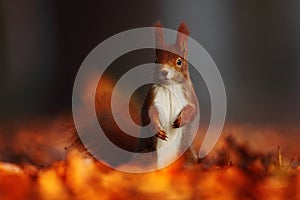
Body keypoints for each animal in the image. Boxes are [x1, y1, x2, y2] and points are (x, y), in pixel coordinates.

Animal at [138, 21, 199, 167]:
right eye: (156, 59)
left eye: (179, 61)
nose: (164, 71)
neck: (170, 87)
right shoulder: (153, 96)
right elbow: (149, 113)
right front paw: (157, 129)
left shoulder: (189, 95)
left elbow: (193, 110)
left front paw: (180, 120)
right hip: (146, 158)